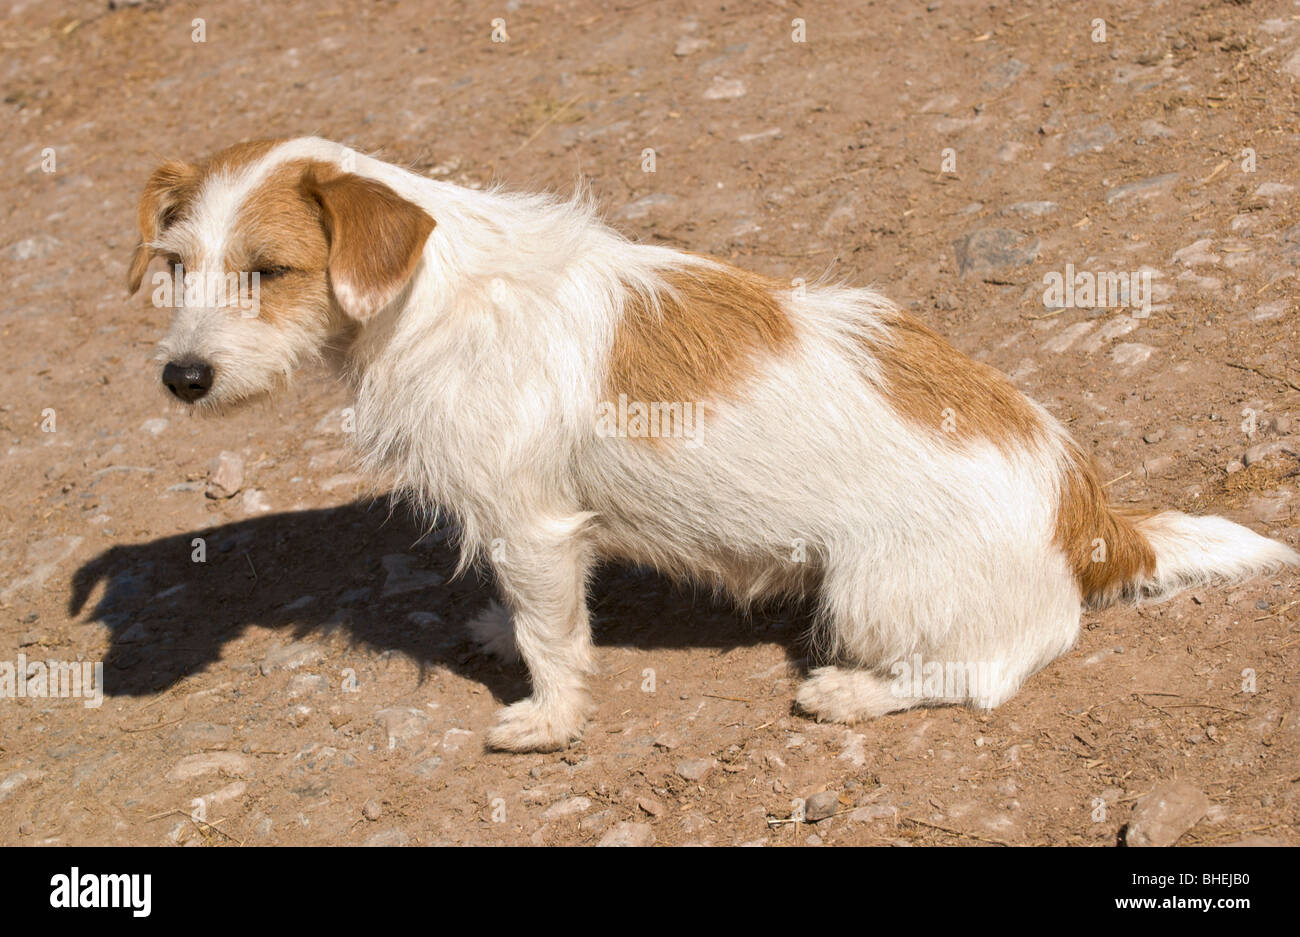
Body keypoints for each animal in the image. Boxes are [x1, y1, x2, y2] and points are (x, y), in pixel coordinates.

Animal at [129, 139, 1300, 748]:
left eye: (270, 271)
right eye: (177, 264)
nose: (181, 378)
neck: (428, 292)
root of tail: (1091, 515)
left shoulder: (533, 523)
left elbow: (555, 633)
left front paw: (546, 718)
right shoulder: (523, 535)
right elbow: (525, 613)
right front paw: (500, 635)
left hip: (868, 589)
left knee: (983, 675)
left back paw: (849, 693)